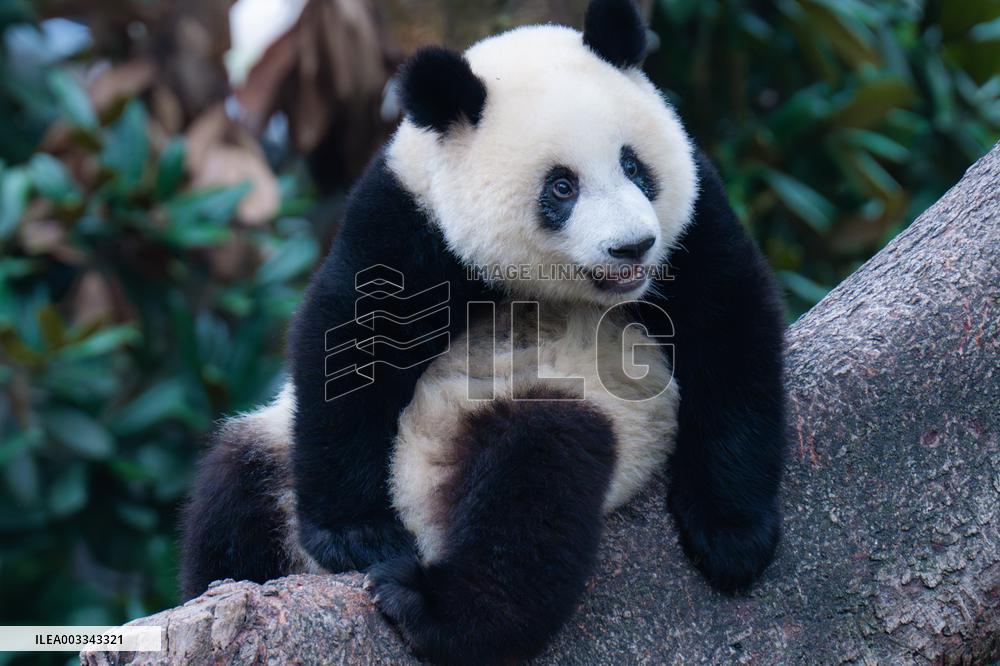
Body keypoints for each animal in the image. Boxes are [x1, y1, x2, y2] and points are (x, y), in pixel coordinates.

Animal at [180, 0, 787, 663]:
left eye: (634, 165)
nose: (633, 246)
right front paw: (354, 534)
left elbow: (728, 329)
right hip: (276, 447)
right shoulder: (408, 214)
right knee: (232, 492)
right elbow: (352, 340)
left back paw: (431, 607)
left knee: (532, 488)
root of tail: (426, 513)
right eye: (562, 187)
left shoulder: (693, 220)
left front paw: (730, 537)